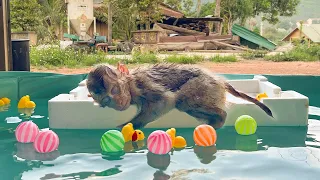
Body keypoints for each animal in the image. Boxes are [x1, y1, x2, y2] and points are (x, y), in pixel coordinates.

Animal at [85, 63, 272, 129]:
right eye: (106, 101)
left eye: (115, 90)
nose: (118, 102)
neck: (130, 83)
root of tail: (219, 81)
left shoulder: (142, 84)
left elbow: (166, 101)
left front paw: (130, 125)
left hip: (206, 85)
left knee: (183, 100)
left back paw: (220, 116)